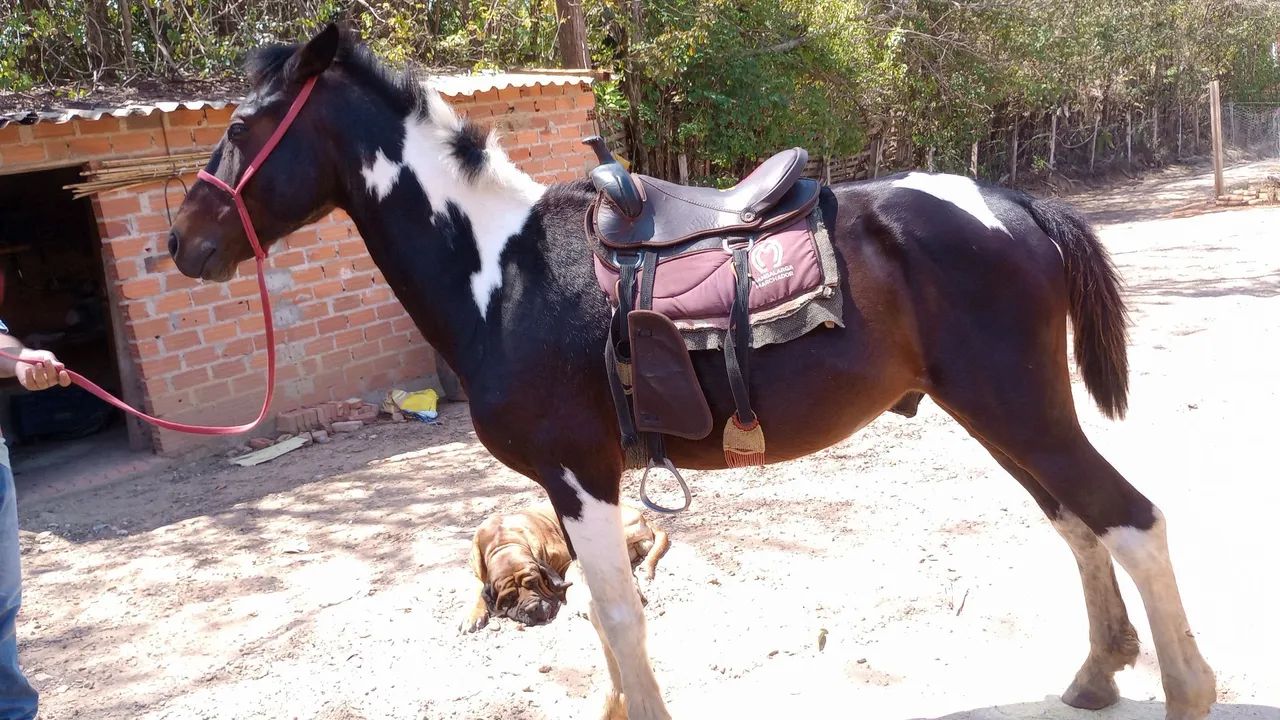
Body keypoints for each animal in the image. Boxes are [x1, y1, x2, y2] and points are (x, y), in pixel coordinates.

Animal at [166, 24, 1215, 720]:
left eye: (248, 124)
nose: (183, 241)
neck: (502, 271)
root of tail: (1012, 203)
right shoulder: (573, 489)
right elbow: (604, 620)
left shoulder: (579, 475)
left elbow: (618, 619)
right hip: (1000, 415)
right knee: (1078, 522)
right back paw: (1097, 672)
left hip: (1019, 408)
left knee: (1131, 519)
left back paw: (1186, 687)